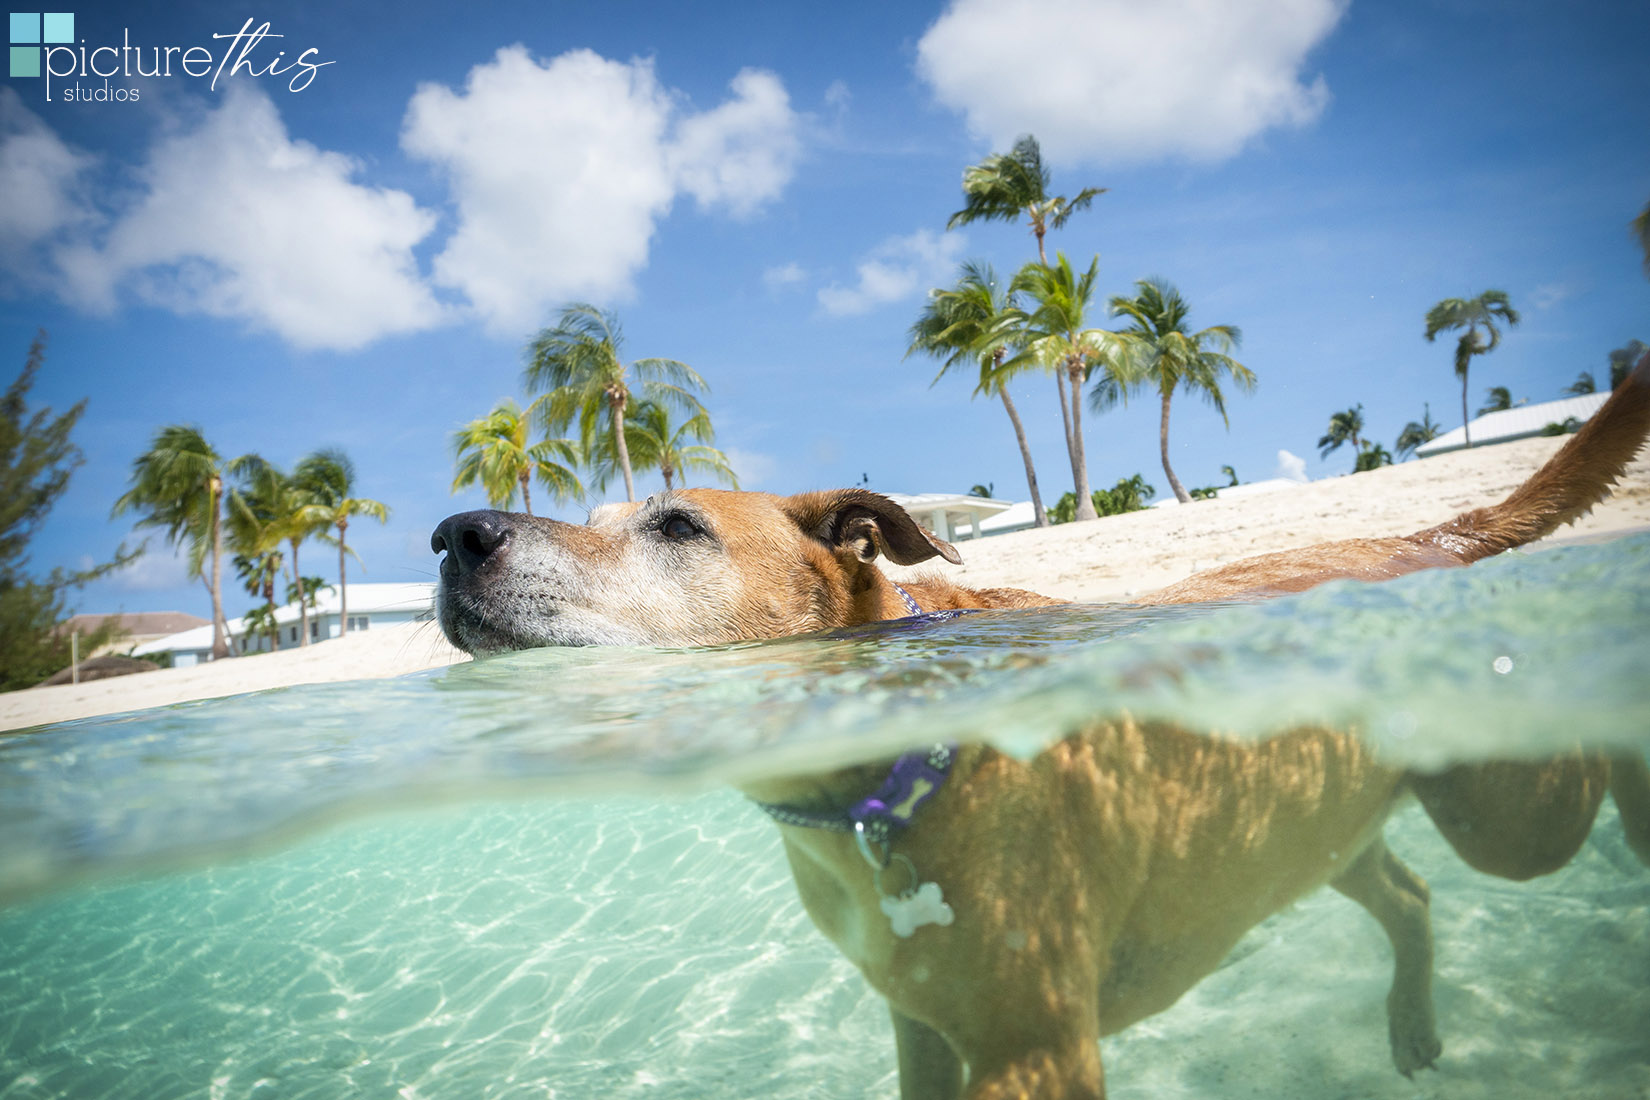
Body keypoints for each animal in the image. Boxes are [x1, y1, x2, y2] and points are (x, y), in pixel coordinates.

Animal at [432, 357, 1643, 1095]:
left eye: (679, 525)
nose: (454, 534)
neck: (871, 791)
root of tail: (1420, 536)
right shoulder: (924, 1035)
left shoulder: (1038, 1050)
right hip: (1306, 823)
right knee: (1407, 889)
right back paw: (1412, 1019)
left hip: (1504, 808)